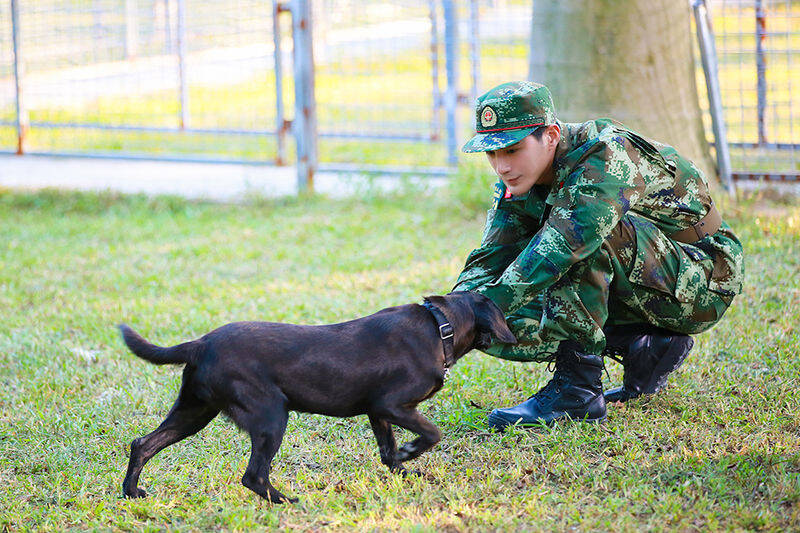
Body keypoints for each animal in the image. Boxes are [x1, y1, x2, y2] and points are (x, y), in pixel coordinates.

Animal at [121, 290, 516, 502]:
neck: (440, 326)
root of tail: (200, 343)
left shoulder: (377, 413)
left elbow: (388, 453)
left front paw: (407, 472)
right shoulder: (390, 405)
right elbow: (432, 432)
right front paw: (411, 453)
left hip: (194, 412)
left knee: (143, 444)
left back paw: (131, 492)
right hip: (271, 416)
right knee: (253, 476)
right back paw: (286, 502)